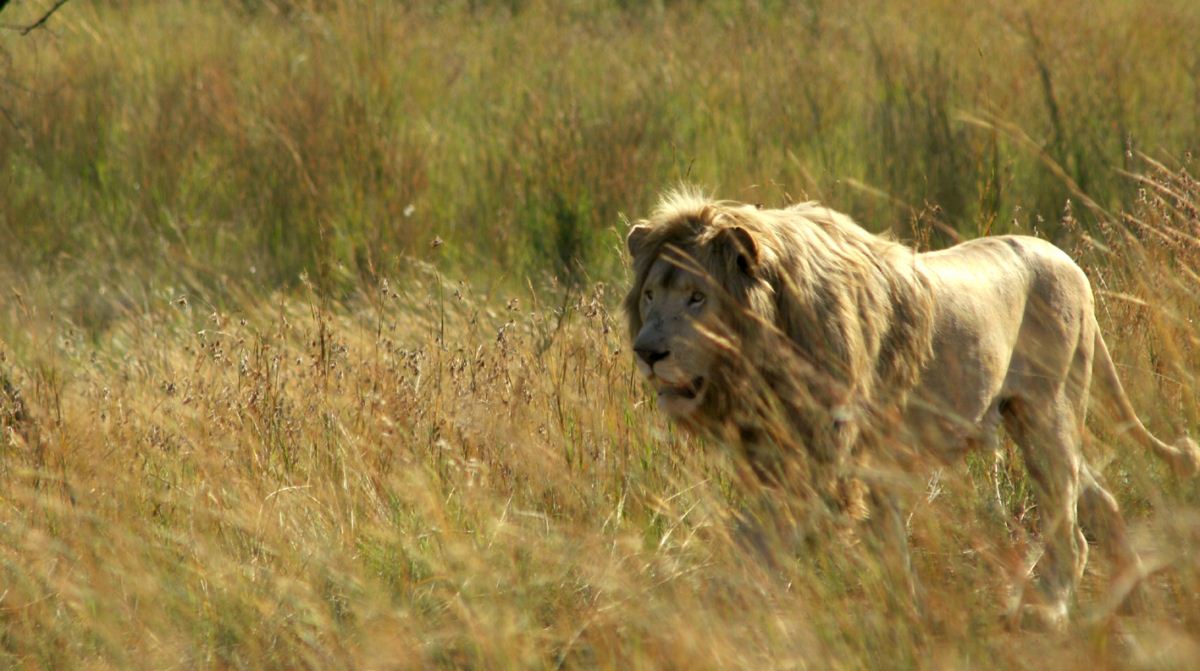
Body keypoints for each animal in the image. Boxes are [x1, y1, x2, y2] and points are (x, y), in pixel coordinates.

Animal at [624, 189, 1200, 628]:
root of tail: (1072, 263)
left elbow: (757, 541)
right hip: (1027, 419)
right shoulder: (807, 453)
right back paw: (1130, 597)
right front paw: (903, 608)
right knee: (1100, 498)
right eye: (650, 295)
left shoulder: (820, 455)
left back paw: (1049, 611)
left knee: (1071, 525)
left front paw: (721, 609)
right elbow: (883, 543)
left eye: (697, 297)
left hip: (1047, 413)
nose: (647, 352)